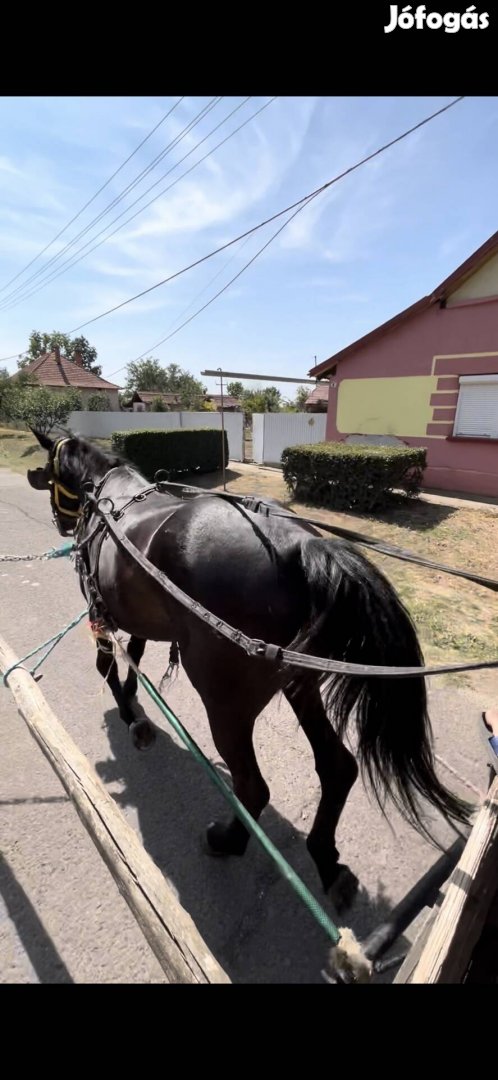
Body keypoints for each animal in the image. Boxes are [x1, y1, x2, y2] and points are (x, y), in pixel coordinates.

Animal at [27, 429, 466, 911]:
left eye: (49, 473)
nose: (61, 523)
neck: (109, 494)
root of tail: (298, 545)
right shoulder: (135, 616)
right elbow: (136, 655)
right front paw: (133, 702)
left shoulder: (98, 609)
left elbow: (107, 663)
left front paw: (128, 714)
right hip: (301, 684)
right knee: (337, 768)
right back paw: (326, 861)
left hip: (226, 705)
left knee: (252, 788)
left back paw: (229, 839)